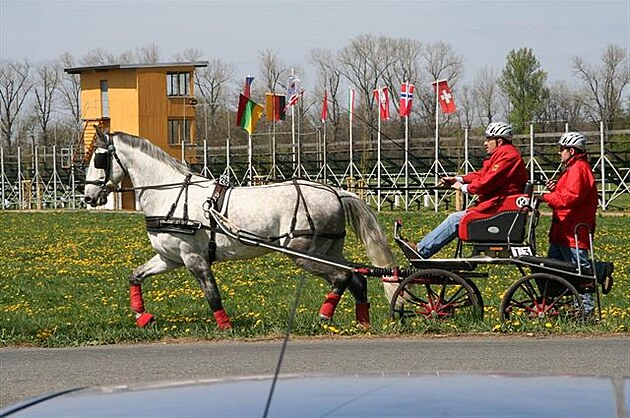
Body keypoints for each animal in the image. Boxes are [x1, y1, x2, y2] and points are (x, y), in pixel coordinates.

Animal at [85, 131, 396, 330]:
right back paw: (362, 321)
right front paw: (142, 317)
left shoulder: (194, 258)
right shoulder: (170, 258)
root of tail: (335, 192)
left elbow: (212, 294)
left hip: (304, 254)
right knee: (358, 278)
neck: (171, 194)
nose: (88, 197)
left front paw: (226, 326)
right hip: (329, 250)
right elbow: (135, 276)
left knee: (342, 277)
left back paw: (323, 317)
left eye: (98, 159)